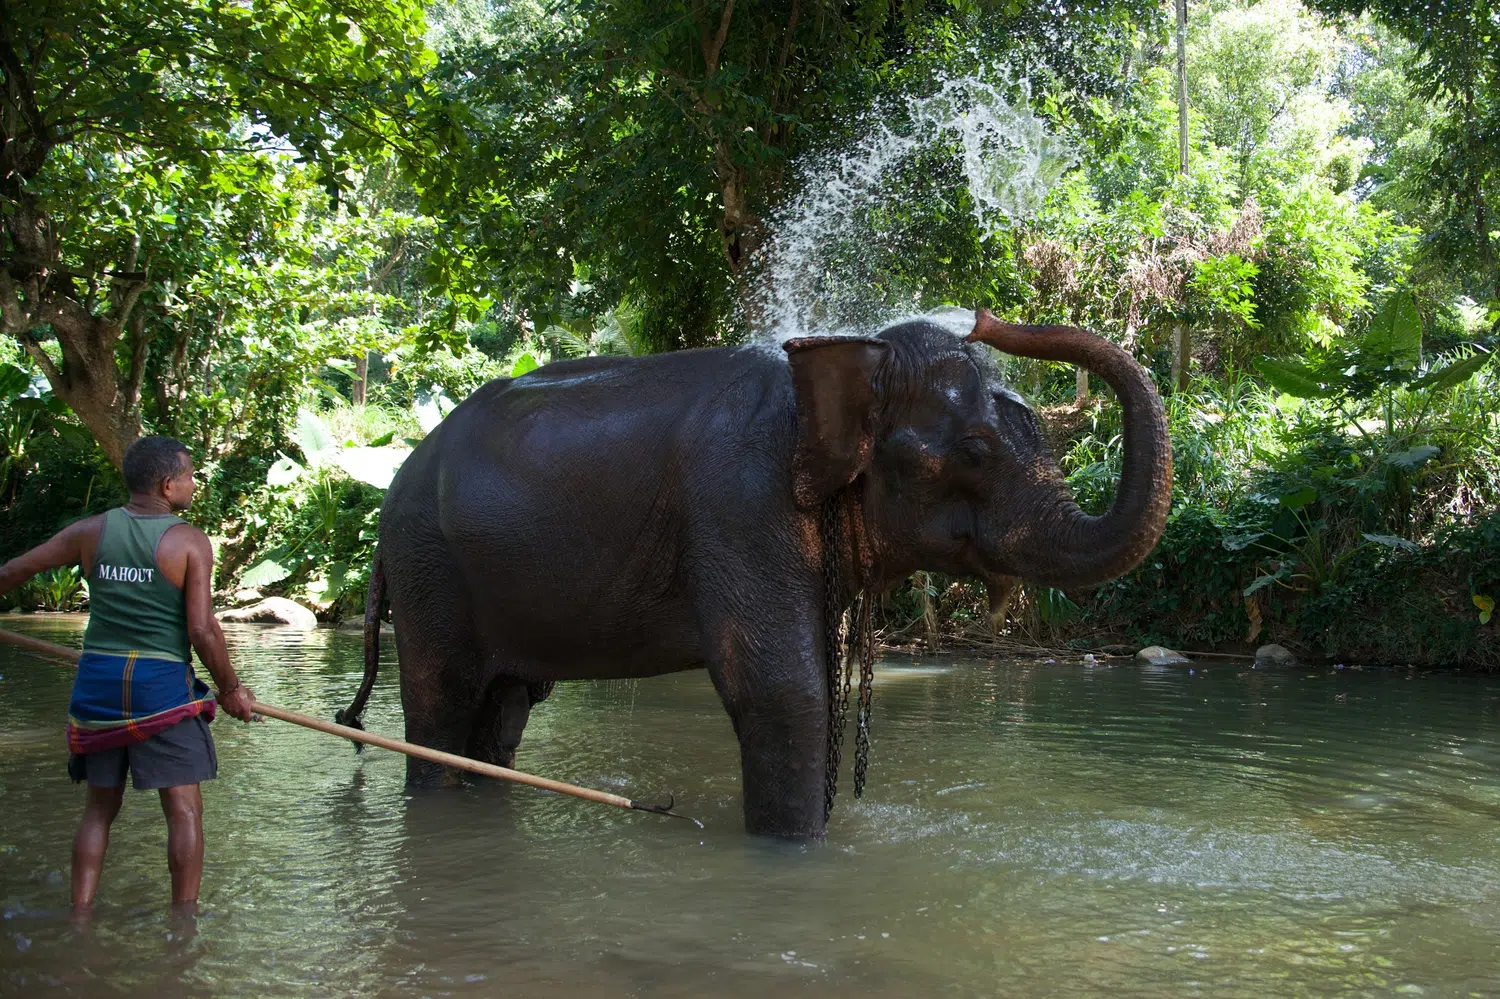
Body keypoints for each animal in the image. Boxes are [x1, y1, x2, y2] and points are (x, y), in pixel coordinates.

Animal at [336, 308, 1172, 838]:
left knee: (504, 711)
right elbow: (782, 691)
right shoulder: (739, 503)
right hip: (429, 564)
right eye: (973, 452)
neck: (847, 353)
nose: (985, 315)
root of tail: (391, 490)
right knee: (443, 703)